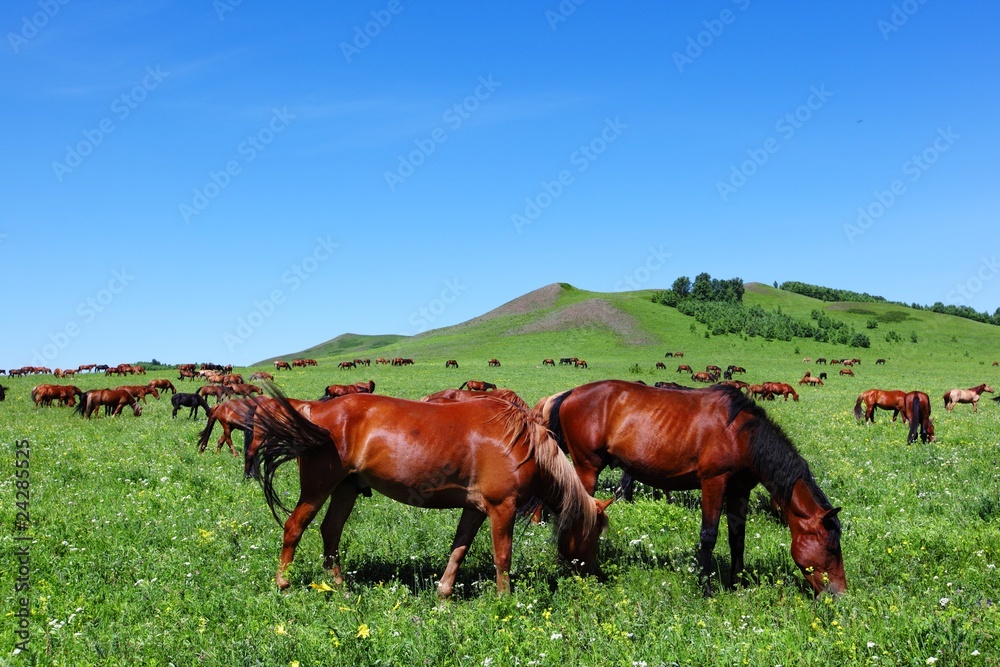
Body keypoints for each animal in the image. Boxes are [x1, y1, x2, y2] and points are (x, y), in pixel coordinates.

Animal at [246, 391, 612, 596]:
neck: (522, 444)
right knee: (294, 527)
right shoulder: (501, 508)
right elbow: (503, 558)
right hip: (318, 488)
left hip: (345, 489)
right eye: (593, 533)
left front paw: (444, 593)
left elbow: (458, 550)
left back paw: (340, 587)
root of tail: (313, 410)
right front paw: (505, 600)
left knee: (330, 532)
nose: (595, 573)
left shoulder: (475, 509)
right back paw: (283, 584)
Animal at [535, 380, 845, 596]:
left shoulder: (739, 490)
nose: (839, 593)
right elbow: (708, 536)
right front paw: (706, 587)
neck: (743, 434)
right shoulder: (713, 483)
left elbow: (738, 538)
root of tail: (569, 394)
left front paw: (737, 584)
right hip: (587, 468)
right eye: (831, 547)